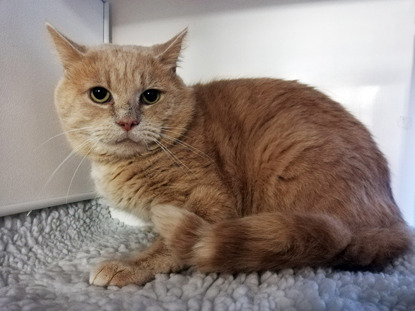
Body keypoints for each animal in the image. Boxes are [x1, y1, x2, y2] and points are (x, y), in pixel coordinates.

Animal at [46, 23, 412, 288]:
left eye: (150, 96)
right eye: (99, 94)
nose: (127, 121)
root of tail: (395, 222)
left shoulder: (211, 201)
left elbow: (169, 246)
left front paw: (128, 266)